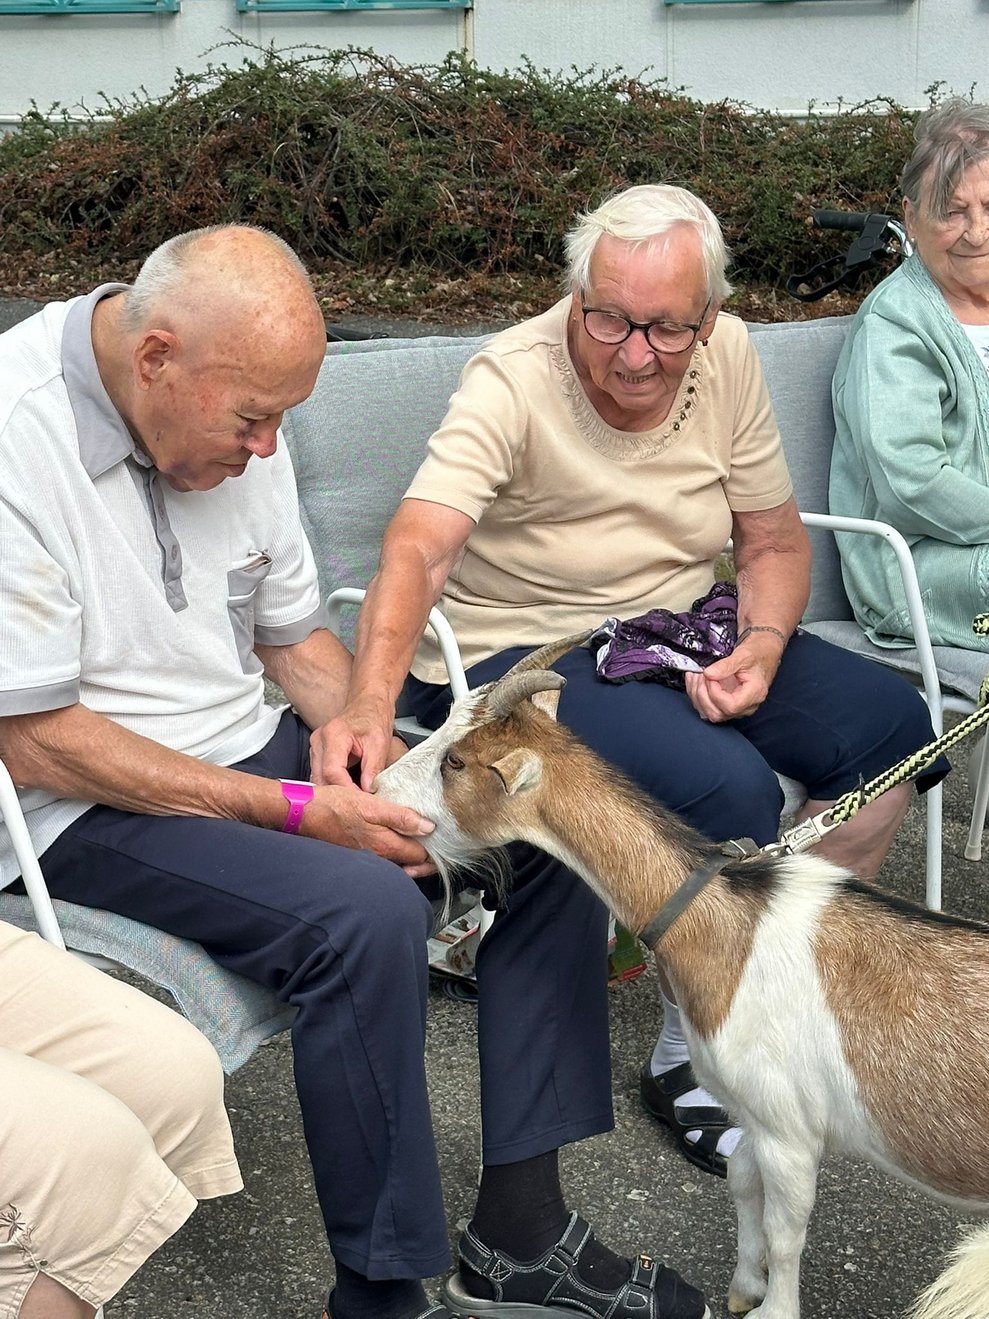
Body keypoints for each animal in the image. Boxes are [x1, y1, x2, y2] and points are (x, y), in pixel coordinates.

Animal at [375, 637, 989, 1319]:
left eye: (455, 762)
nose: (374, 783)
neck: (728, 922)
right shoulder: (753, 1115)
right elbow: (742, 1178)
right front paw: (743, 1288)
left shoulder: (791, 1132)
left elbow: (786, 1234)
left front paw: (771, 1304)